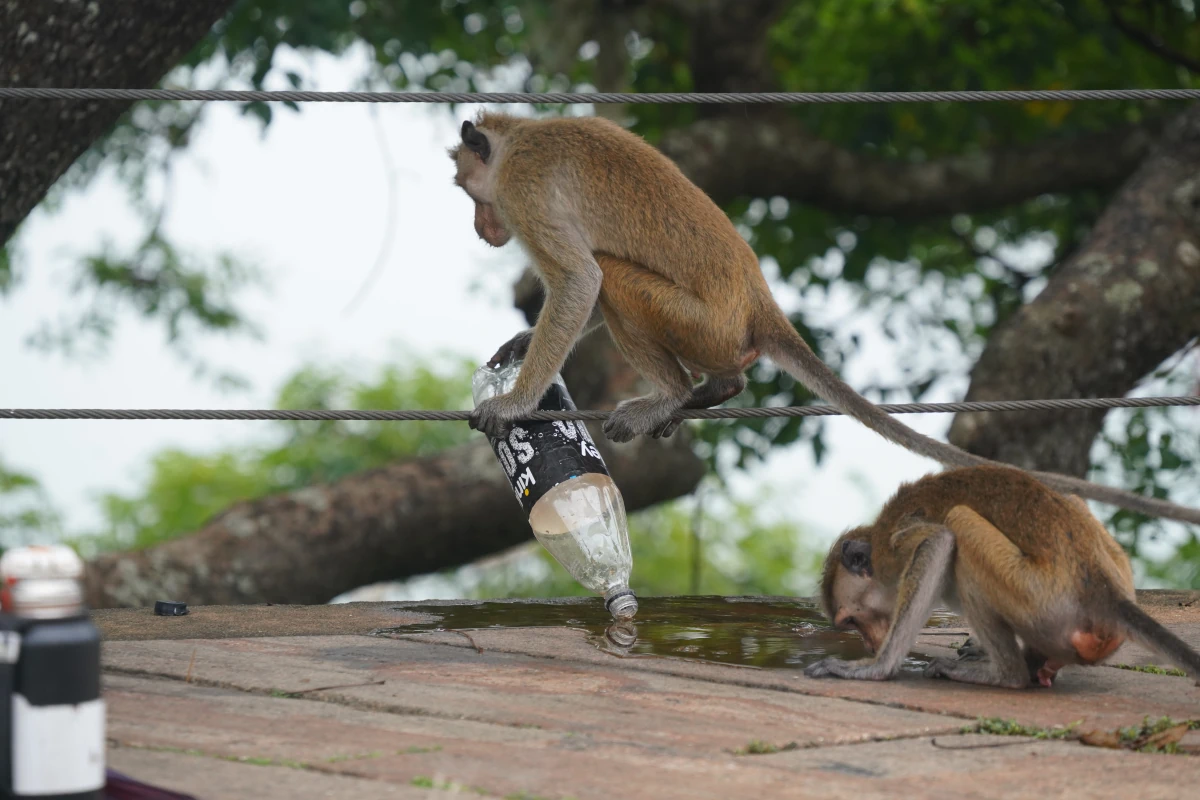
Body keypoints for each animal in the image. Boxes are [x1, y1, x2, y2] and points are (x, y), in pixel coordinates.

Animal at [446, 112, 1200, 525]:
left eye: (467, 191)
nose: (480, 226)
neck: (517, 142)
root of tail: (759, 303)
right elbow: (580, 290)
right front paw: (521, 344)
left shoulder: (525, 190)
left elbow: (583, 280)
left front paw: (514, 402)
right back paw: (701, 394)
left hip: (704, 325)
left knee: (615, 277)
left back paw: (689, 390)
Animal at [801, 465, 1200, 690]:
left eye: (850, 620)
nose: (870, 645)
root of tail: (1102, 588)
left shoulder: (893, 552)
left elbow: (937, 542)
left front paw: (875, 668)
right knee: (1072, 498)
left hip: (1038, 596)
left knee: (959, 524)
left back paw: (1007, 674)